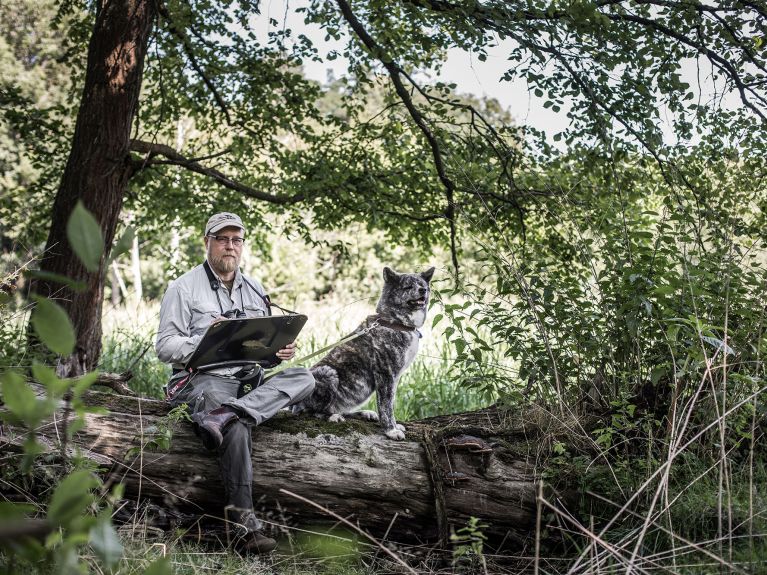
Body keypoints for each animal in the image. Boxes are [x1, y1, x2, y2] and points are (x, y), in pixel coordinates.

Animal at [294, 266, 436, 440]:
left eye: (422, 285)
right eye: (408, 287)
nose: (423, 290)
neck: (394, 322)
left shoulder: (394, 378)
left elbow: (390, 404)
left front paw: (394, 426)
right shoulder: (385, 375)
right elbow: (386, 406)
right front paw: (390, 430)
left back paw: (364, 413)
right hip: (328, 372)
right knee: (311, 411)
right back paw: (332, 416)